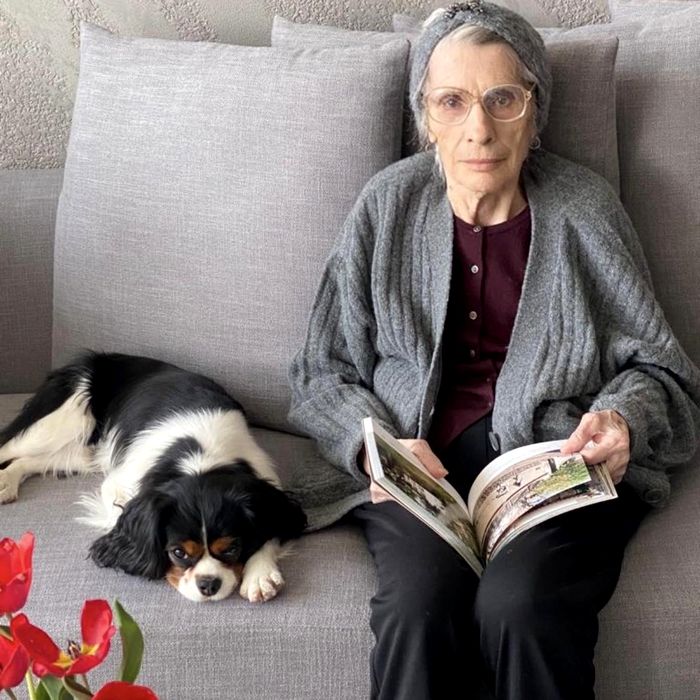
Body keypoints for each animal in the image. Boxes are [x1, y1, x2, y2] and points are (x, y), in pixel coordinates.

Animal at [0, 351, 307, 603]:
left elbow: (272, 530)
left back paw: (8, 483)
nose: (209, 584)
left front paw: (260, 575)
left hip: (83, 453)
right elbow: (121, 516)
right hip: (62, 422)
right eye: (179, 553)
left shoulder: (268, 485)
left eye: (232, 549)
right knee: (10, 446)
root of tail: (95, 359)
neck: (201, 457)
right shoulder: (121, 483)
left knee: (34, 461)